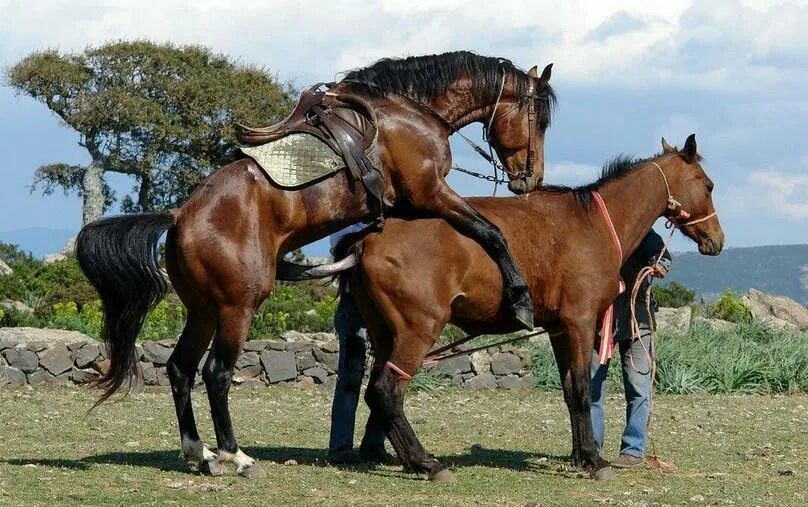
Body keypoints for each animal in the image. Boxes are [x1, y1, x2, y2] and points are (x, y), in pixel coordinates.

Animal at [76, 50, 556, 476]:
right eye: (539, 120)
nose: (530, 180)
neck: (409, 113)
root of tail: (178, 217)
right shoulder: (430, 193)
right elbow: (490, 233)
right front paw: (519, 300)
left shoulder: (406, 205)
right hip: (237, 306)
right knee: (216, 372)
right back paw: (236, 457)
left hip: (203, 309)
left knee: (180, 368)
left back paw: (200, 453)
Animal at [348, 136, 724, 484]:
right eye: (708, 184)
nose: (717, 240)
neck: (594, 223)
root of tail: (367, 239)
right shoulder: (580, 323)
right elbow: (583, 391)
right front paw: (594, 460)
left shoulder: (559, 329)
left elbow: (571, 391)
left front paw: (580, 456)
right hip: (418, 332)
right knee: (387, 393)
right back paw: (427, 463)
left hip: (386, 336)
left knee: (376, 394)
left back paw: (412, 461)